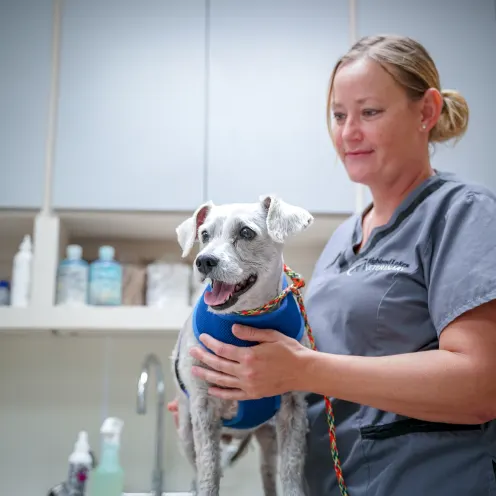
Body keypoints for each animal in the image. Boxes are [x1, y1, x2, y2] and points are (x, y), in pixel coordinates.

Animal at [171, 195, 314, 496]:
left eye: (246, 232)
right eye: (204, 235)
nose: (204, 261)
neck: (243, 320)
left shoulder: (293, 409)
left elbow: (291, 472)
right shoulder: (203, 408)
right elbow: (209, 473)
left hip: (268, 438)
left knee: (269, 475)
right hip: (186, 433)